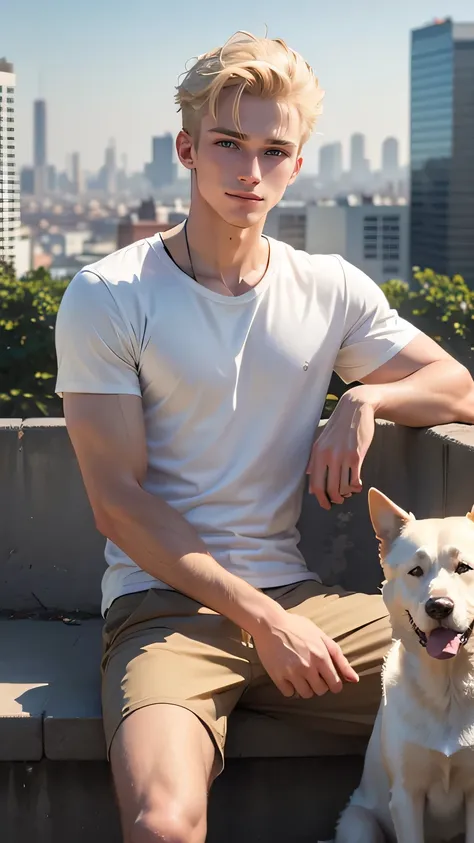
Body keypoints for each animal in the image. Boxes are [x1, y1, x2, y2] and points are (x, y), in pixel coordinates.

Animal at [334, 488, 474, 843]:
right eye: (416, 572)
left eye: (464, 567)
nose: (439, 607)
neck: (448, 689)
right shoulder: (406, 796)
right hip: (359, 823)